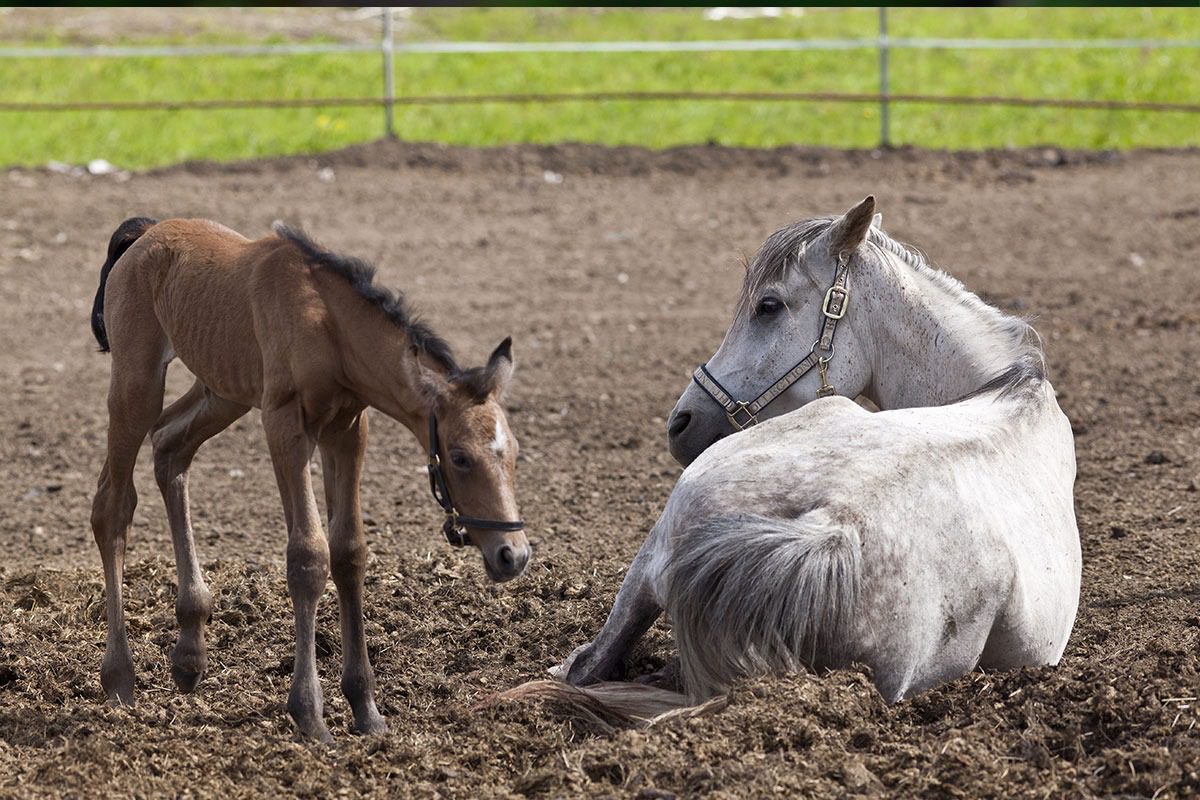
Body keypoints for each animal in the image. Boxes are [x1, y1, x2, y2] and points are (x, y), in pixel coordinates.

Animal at [89, 217, 529, 742]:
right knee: (113, 506)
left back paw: (190, 652)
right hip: (137, 384)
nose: (512, 555)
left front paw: (366, 707)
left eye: (514, 452)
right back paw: (119, 678)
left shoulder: (348, 429)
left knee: (170, 447)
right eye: (459, 458)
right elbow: (308, 557)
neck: (329, 326)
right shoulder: (285, 424)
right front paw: (309, 713)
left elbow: (349, 553)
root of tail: (147, 232)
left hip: (222, 390)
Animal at [512, 196, 1080, 724]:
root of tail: (831, 529)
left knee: (584, 667)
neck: (1006, 388)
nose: (682, 424)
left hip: (652, 550)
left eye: (768, 305)